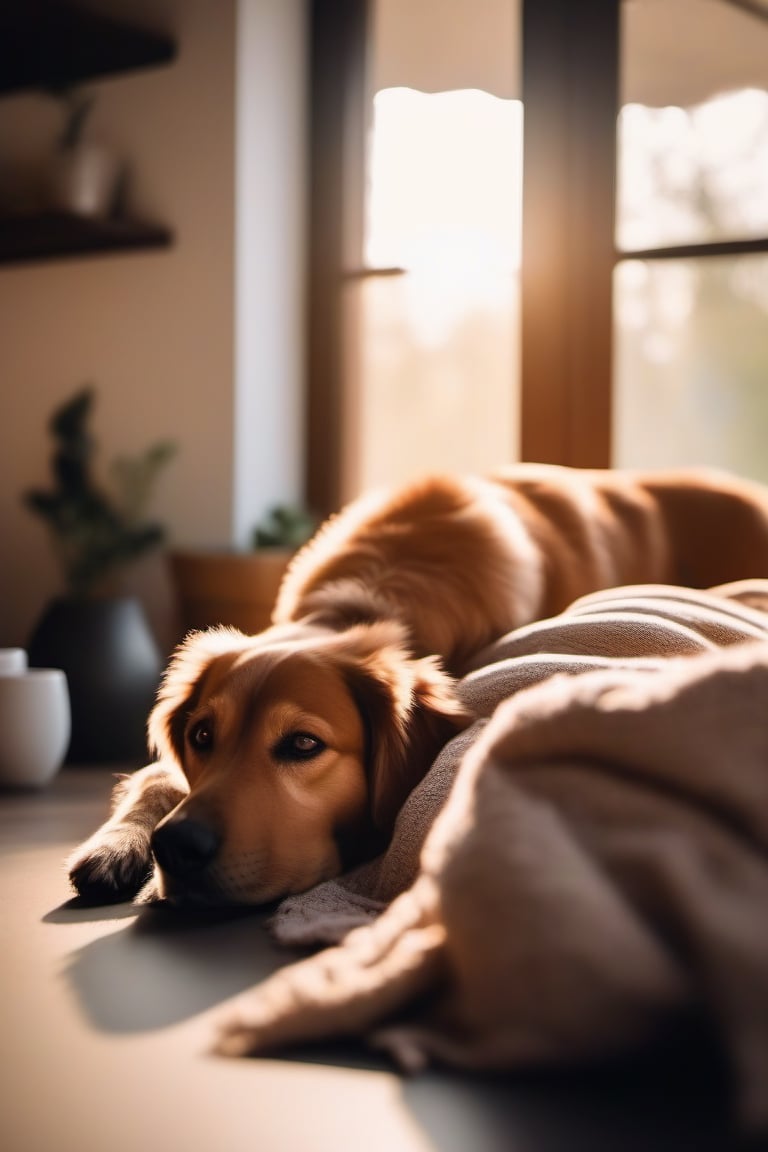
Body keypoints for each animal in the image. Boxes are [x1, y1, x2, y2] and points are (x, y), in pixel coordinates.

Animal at [66, 465, 768, 907]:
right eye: (202, 736)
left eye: (302, 745)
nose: (177, 848)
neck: (374, 588)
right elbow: (156, 777)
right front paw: (117, 843)